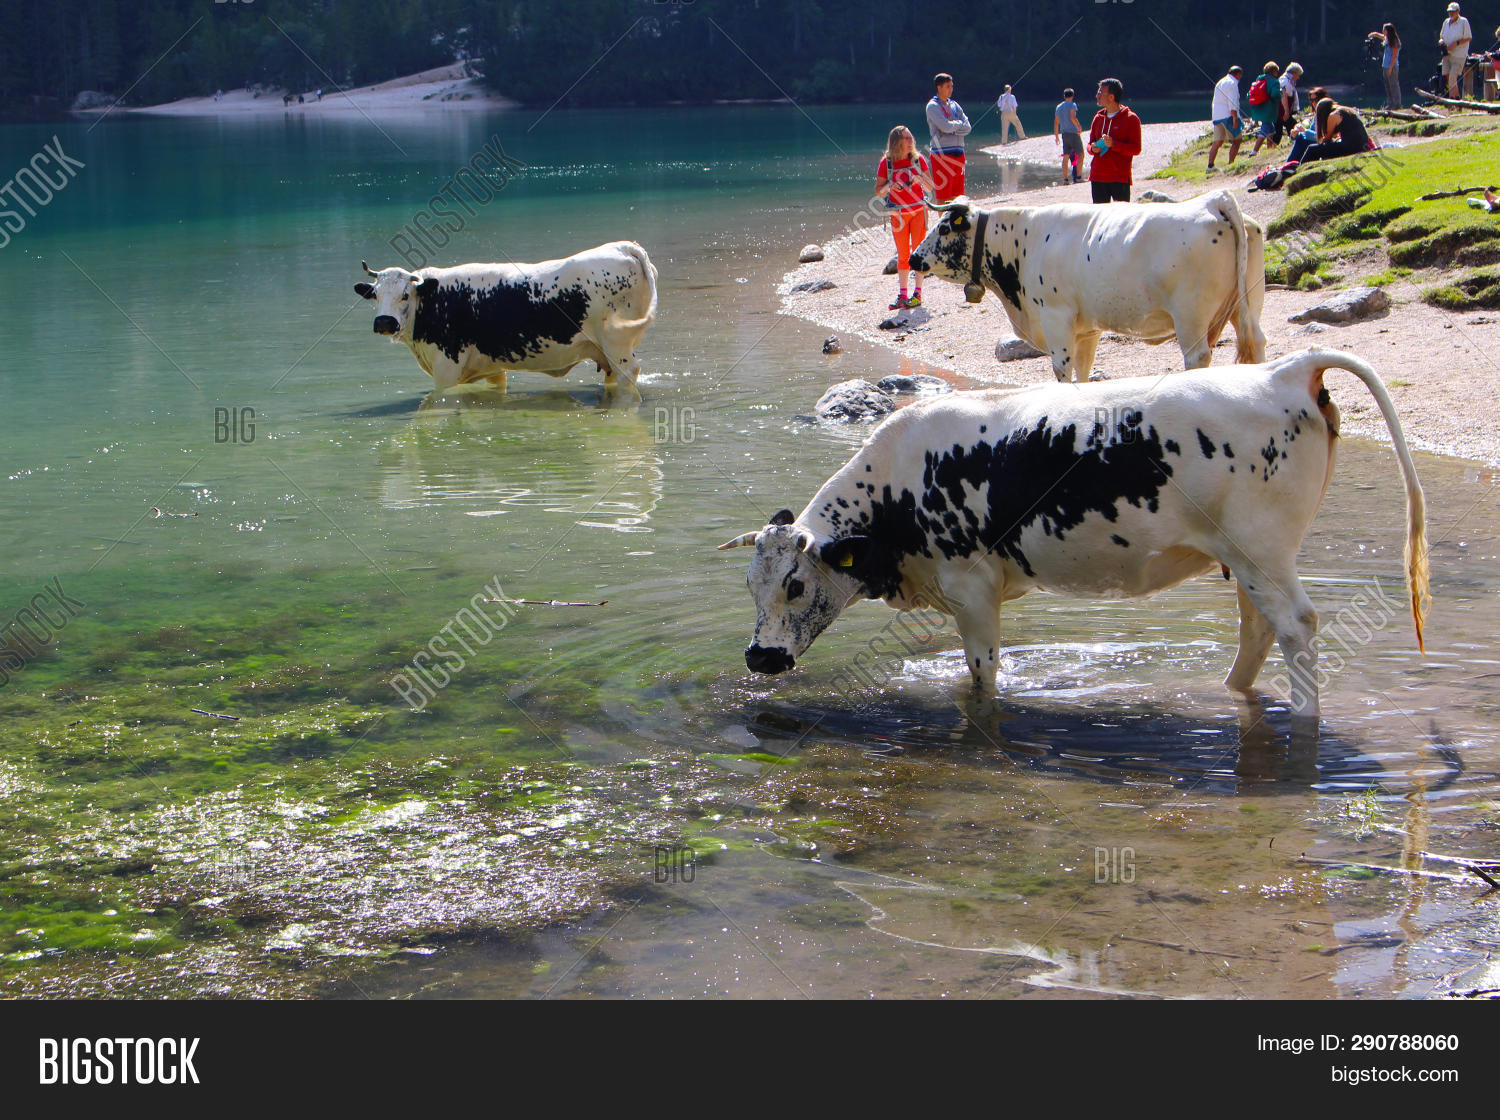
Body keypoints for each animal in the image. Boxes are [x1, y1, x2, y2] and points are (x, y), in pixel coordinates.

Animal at [354, 240, 658, 401]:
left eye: (405, 295)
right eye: (375, 294)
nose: (384, 322)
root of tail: (622, 247)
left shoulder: (446, 369)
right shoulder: (492, 367)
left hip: (616, 345)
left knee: (628, 376)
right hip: (608, 352)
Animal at [719, 349, 1428, 722]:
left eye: (794, 584)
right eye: (749, 586)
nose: (759, 657)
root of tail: (1282, 369)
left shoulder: (972, 588)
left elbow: (982, 674)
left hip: (1263, 551)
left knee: (1296, 626)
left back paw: (1304, 717)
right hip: (1246, 559)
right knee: (1257, 629)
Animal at [906, 191, 1266, 383]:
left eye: (943, 228)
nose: (912, 257)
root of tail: (1214, 200)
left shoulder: (1057, 319)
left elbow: (1063, 371)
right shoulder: (1087, 329)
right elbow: (1085, 370)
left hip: (1191, 317)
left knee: (1197, 357)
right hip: (1245, 306)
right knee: (1258, 343)